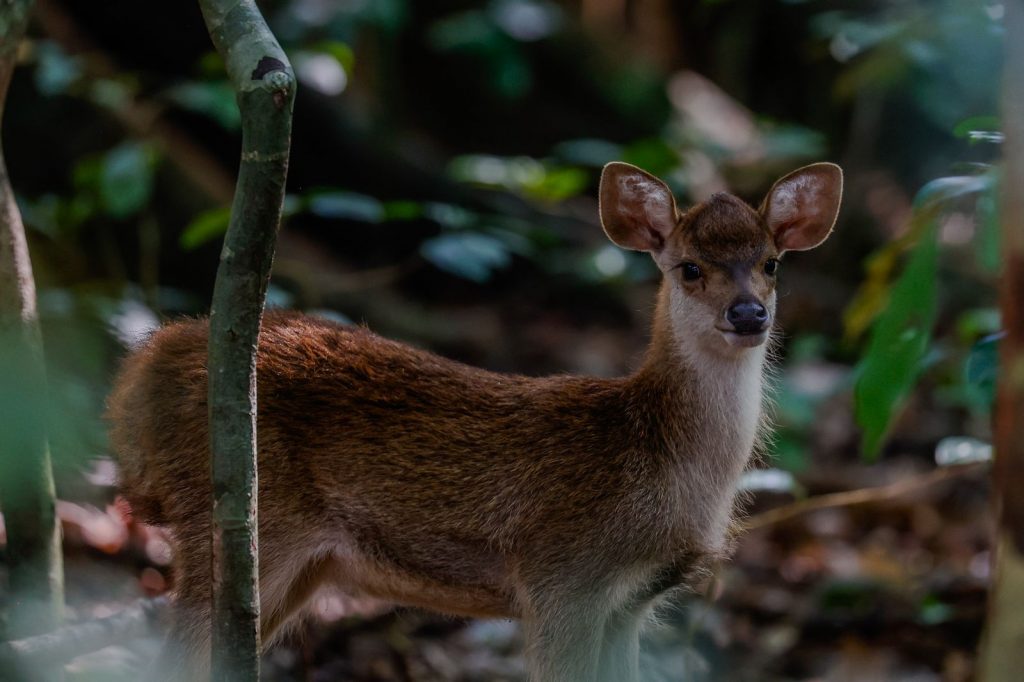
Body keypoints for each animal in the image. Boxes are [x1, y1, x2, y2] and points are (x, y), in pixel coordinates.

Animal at [106, 160, 842, 681]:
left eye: (771, 264)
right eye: (690, 268)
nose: (748, 313)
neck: (657, 458)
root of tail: (140, 374)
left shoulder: (631, 603)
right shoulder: (561, 576)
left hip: (293, 564)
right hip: (234, 519)